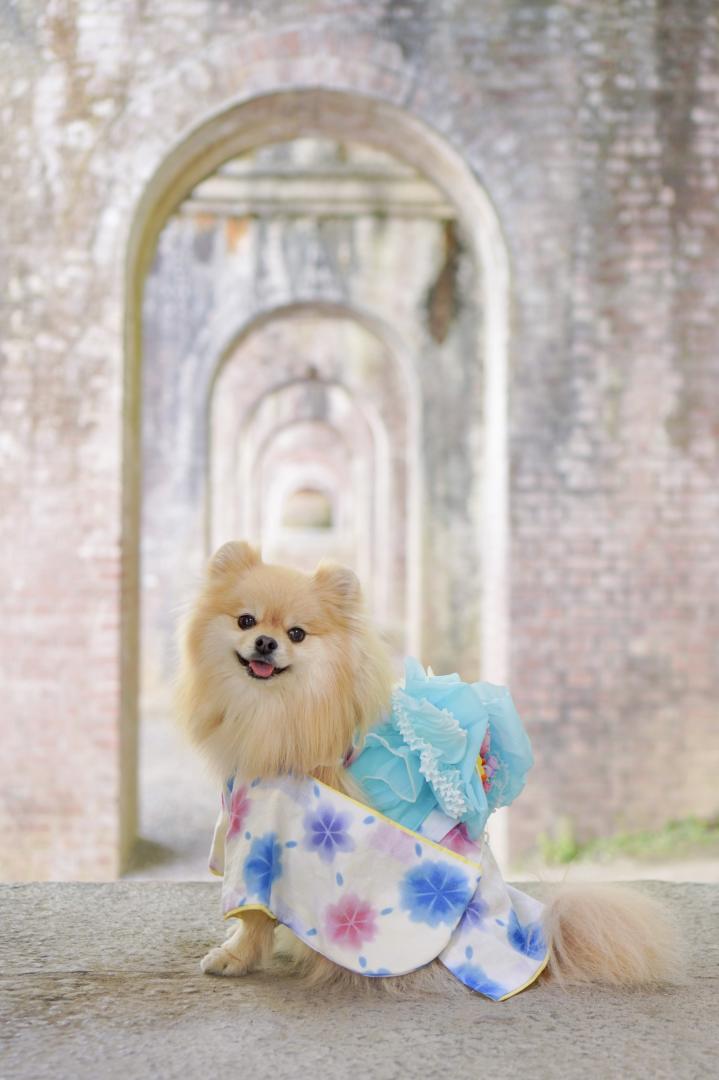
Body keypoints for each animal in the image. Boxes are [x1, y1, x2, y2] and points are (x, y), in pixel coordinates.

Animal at [175, 544, 673, 989]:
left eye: (297, 633)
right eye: (246, 620)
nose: (265, 641)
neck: (277, 710)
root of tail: (533, 935)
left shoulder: (265, 833)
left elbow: (254, 916)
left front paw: (234, 956)